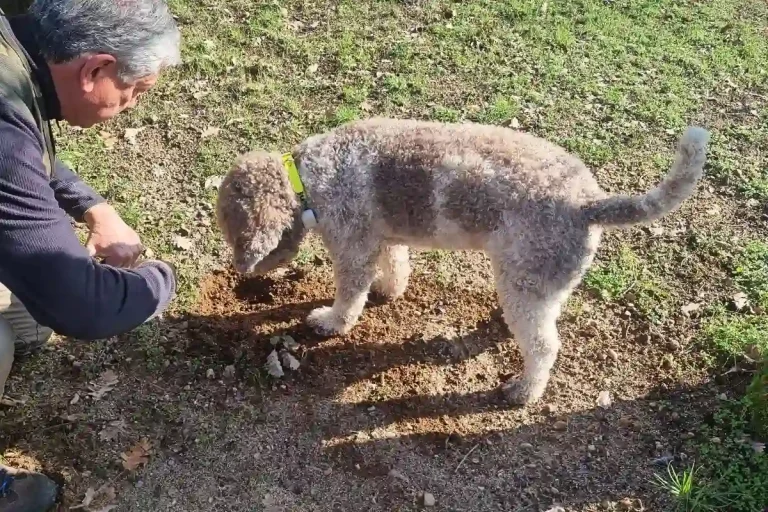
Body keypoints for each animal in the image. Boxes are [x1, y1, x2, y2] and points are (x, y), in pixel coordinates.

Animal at [214, 119, 708, 404]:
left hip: (523, 288)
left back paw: (524, 391)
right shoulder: (383, 238)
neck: (308, 178)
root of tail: (590, 203)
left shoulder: (352, 249)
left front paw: (330, 322)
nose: (241, 271)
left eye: (231, 231)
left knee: (545, 348)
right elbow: (395, 268)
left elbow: (348, 299)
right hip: (536, 285)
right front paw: (389, 290)